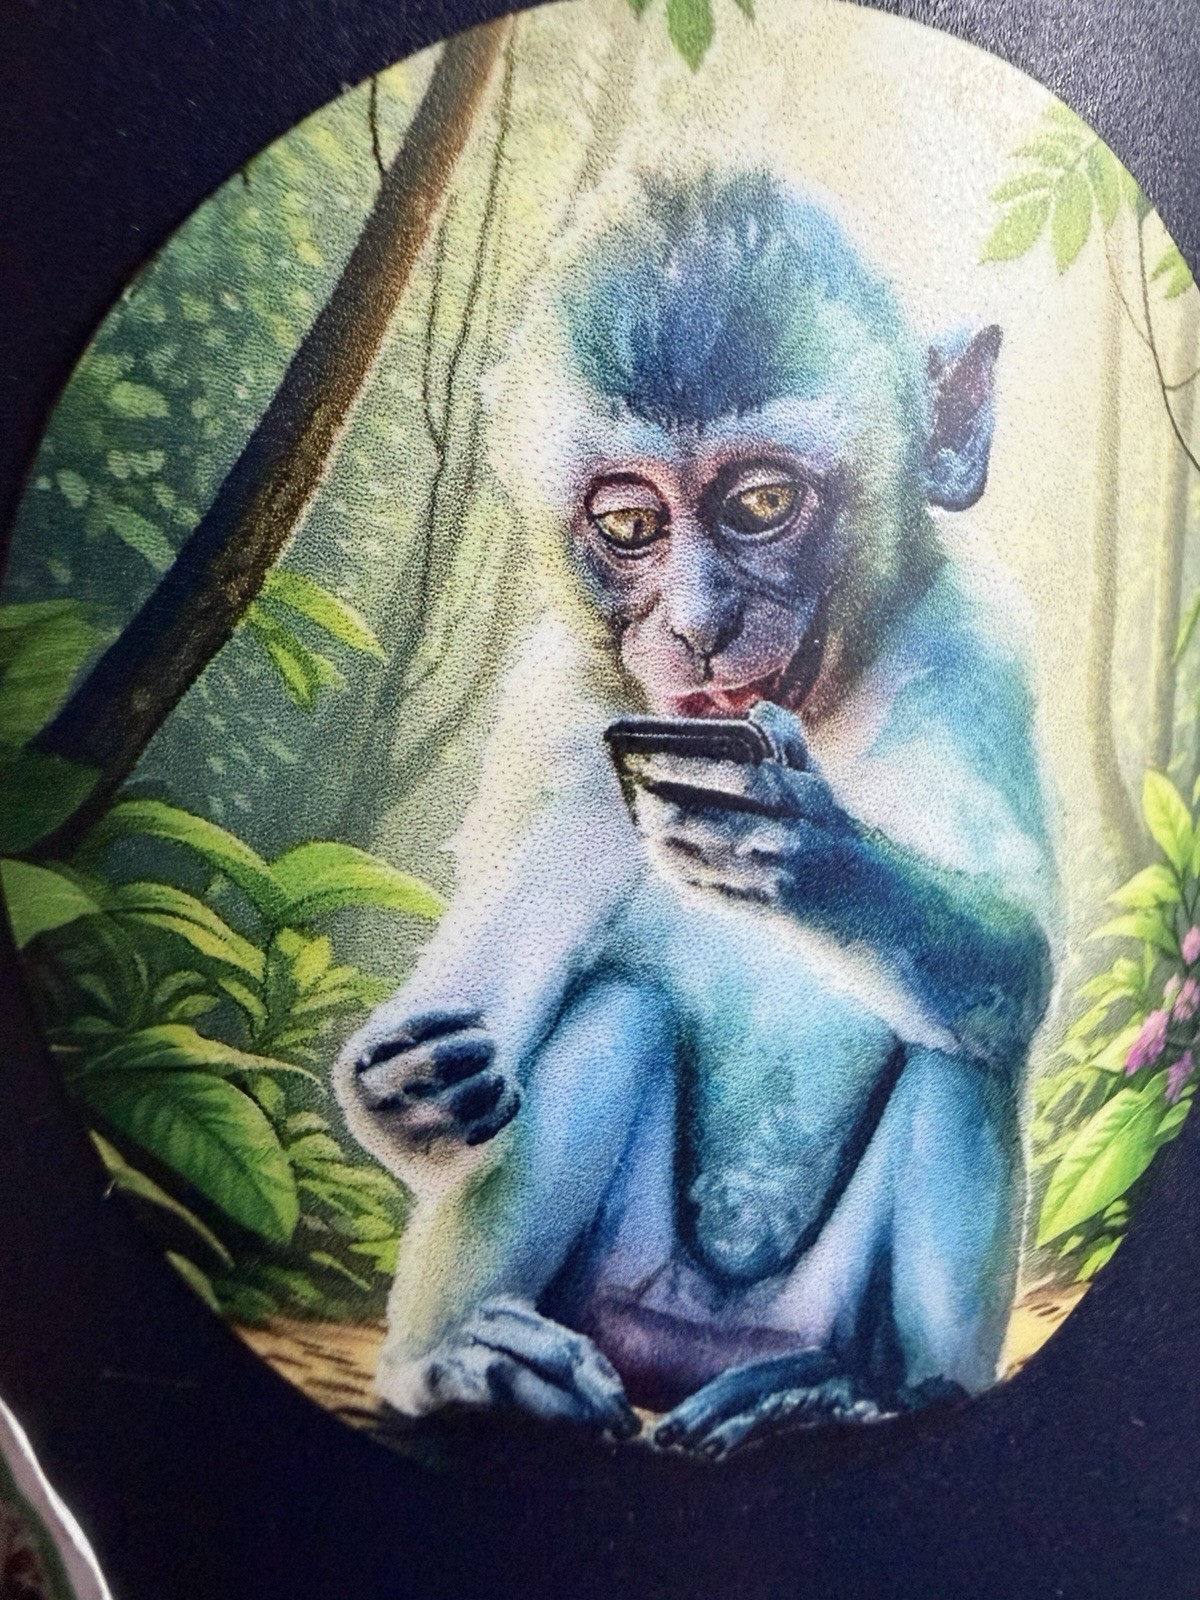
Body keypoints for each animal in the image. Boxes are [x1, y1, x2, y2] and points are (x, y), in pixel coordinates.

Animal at [334, 170, 1058, 1459]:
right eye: (630, 526)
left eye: (761, 503)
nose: (699, 624)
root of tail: (686, 1352)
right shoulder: (561, 720)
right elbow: (502, 998)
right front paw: (404, 1094)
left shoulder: (976, 645)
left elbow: (1016, 961)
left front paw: (811, 854)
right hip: (615, 1302)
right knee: (613, 1017)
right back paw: (462, 1368)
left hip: (811, 1311)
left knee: (960, 1048)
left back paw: (850, 1396)